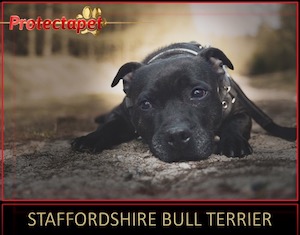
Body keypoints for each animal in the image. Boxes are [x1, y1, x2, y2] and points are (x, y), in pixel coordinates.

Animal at [72, 41, 296, 162]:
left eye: (198, 93)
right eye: (146, 104)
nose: (177, 136)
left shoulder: (239, 111)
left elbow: (234, 124)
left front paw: (232, 142)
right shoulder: (122, 115)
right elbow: (109, 126)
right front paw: (90, 138)